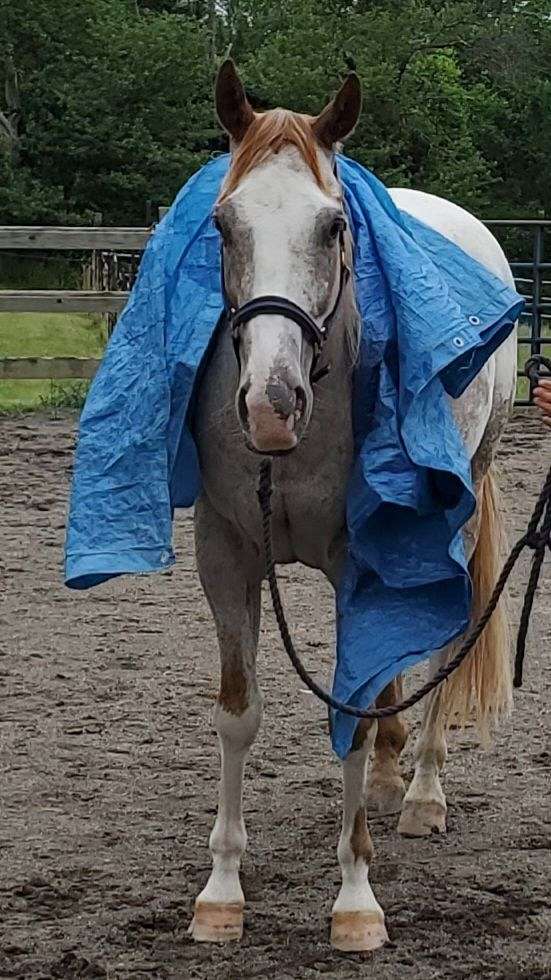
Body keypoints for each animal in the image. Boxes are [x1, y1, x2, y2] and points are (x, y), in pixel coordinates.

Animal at [190, 61, 516, 948]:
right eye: (222, 225)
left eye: (333, 227)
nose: (271, 404)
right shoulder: (223, 554)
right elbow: (238, 714)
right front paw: (221, 890)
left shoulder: (357, 560)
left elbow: (354, 713)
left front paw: (355, 899)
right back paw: (390, 775)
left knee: (443, 646)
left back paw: (422, 792)